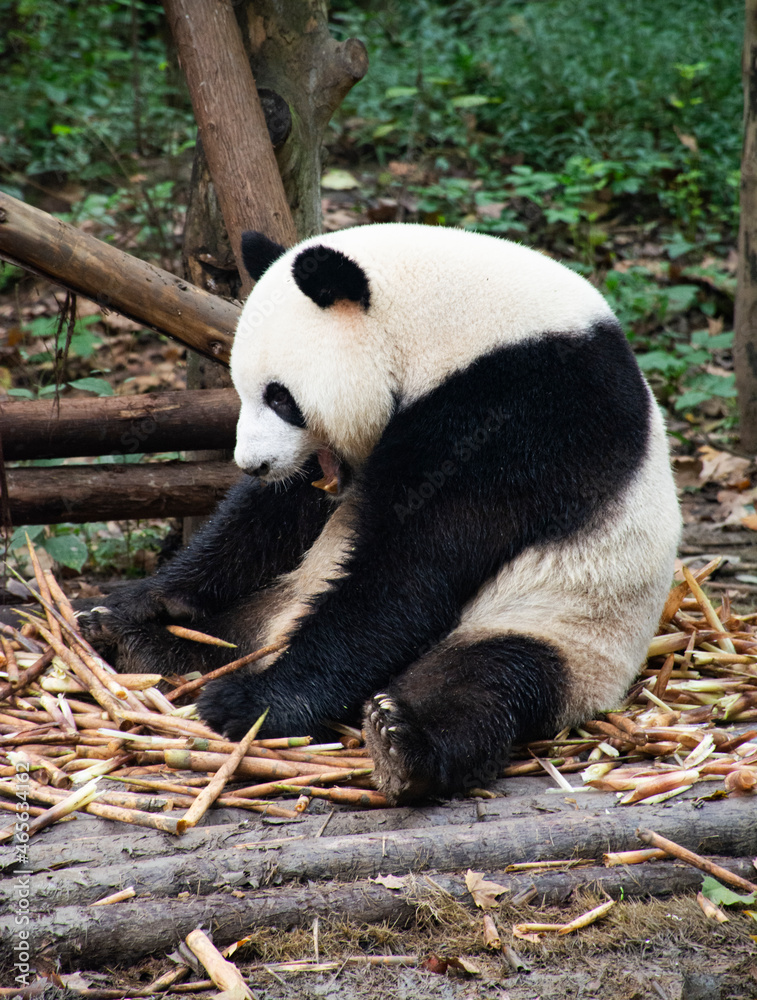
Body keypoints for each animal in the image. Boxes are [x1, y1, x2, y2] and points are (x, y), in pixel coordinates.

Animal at [82, 223, 681, 803]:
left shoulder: (520, 414)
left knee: (489, 678)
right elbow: (277, 514)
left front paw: (251, 706)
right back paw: (135, 640)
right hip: (277, 601)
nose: (254, 463)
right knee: (226, 637)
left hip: (568, 628)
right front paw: (137, 601)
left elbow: (412, 566)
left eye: (280, 397)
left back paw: (402, 744)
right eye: (242, 390)